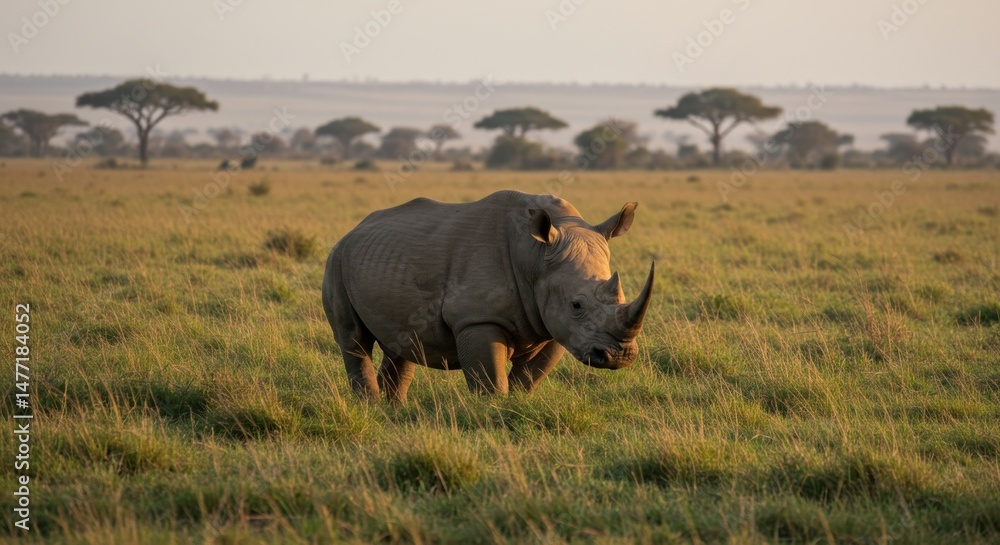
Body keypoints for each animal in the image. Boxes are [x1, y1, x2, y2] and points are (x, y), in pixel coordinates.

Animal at [322, 190, 654, 401]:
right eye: (576, 305)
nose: (620, 357)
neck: (535, 256)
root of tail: (354, 230)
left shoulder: (555, 326)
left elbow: (529, 378)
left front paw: (517, 406)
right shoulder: (477, 318)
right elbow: (490, 380)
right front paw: (493, 412)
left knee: (400, 343)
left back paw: (394, 411)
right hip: (336, 260)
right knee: (353, 340)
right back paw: (370, 407)